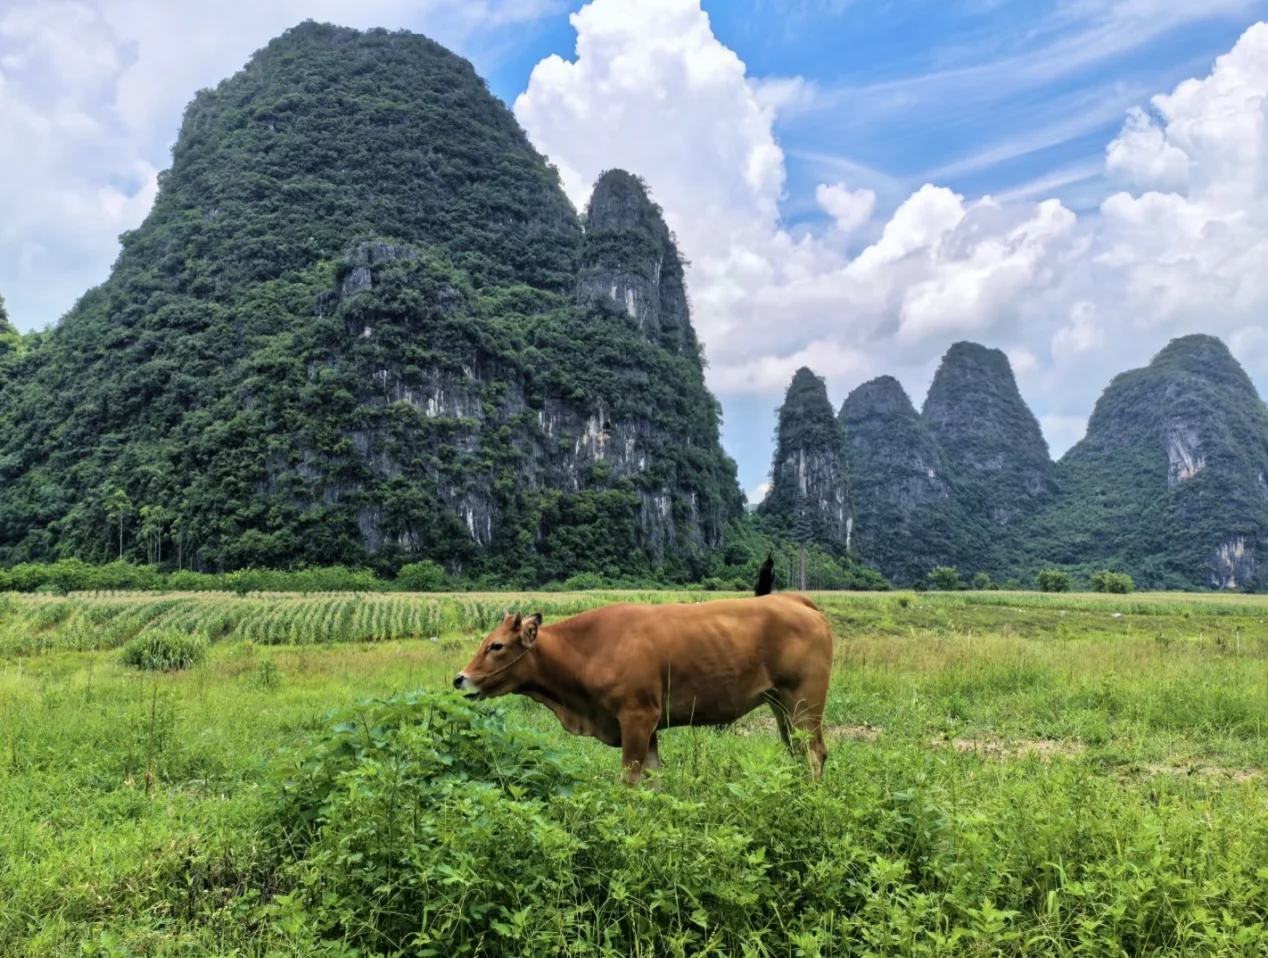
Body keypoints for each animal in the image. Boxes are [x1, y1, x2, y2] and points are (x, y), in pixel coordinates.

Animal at [453, 590, 831, 785]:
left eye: (496, 646)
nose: (460, 678)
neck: (586, 650)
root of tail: (794, 599)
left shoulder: (636, 717)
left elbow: (630, 780)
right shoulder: (648, 727)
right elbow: (652, 779)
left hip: (804, 703)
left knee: (814, 754)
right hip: (780, 705)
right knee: (798, 753)